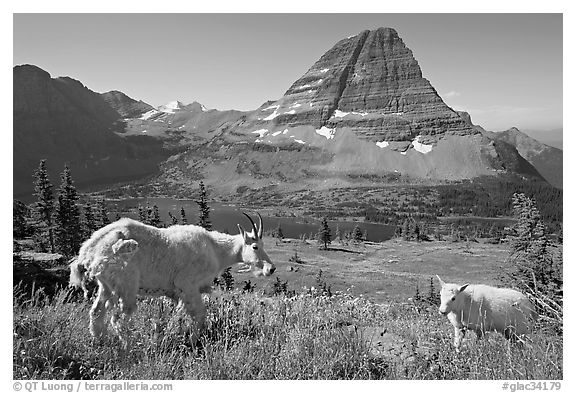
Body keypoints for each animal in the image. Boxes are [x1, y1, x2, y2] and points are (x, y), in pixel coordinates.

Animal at [68, 211, 276, 344]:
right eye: (255, 246)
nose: (271, 269)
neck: (216, 250)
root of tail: (89, 249)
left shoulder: (178, 294)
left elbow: (180, 316)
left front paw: (175, 334)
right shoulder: (188, 285)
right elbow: (200, 315)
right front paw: (193, 341)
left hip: (107, 285)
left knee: (96, 312)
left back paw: (100, 341)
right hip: (126, 285)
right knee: (118, 319)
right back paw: (130, 346)